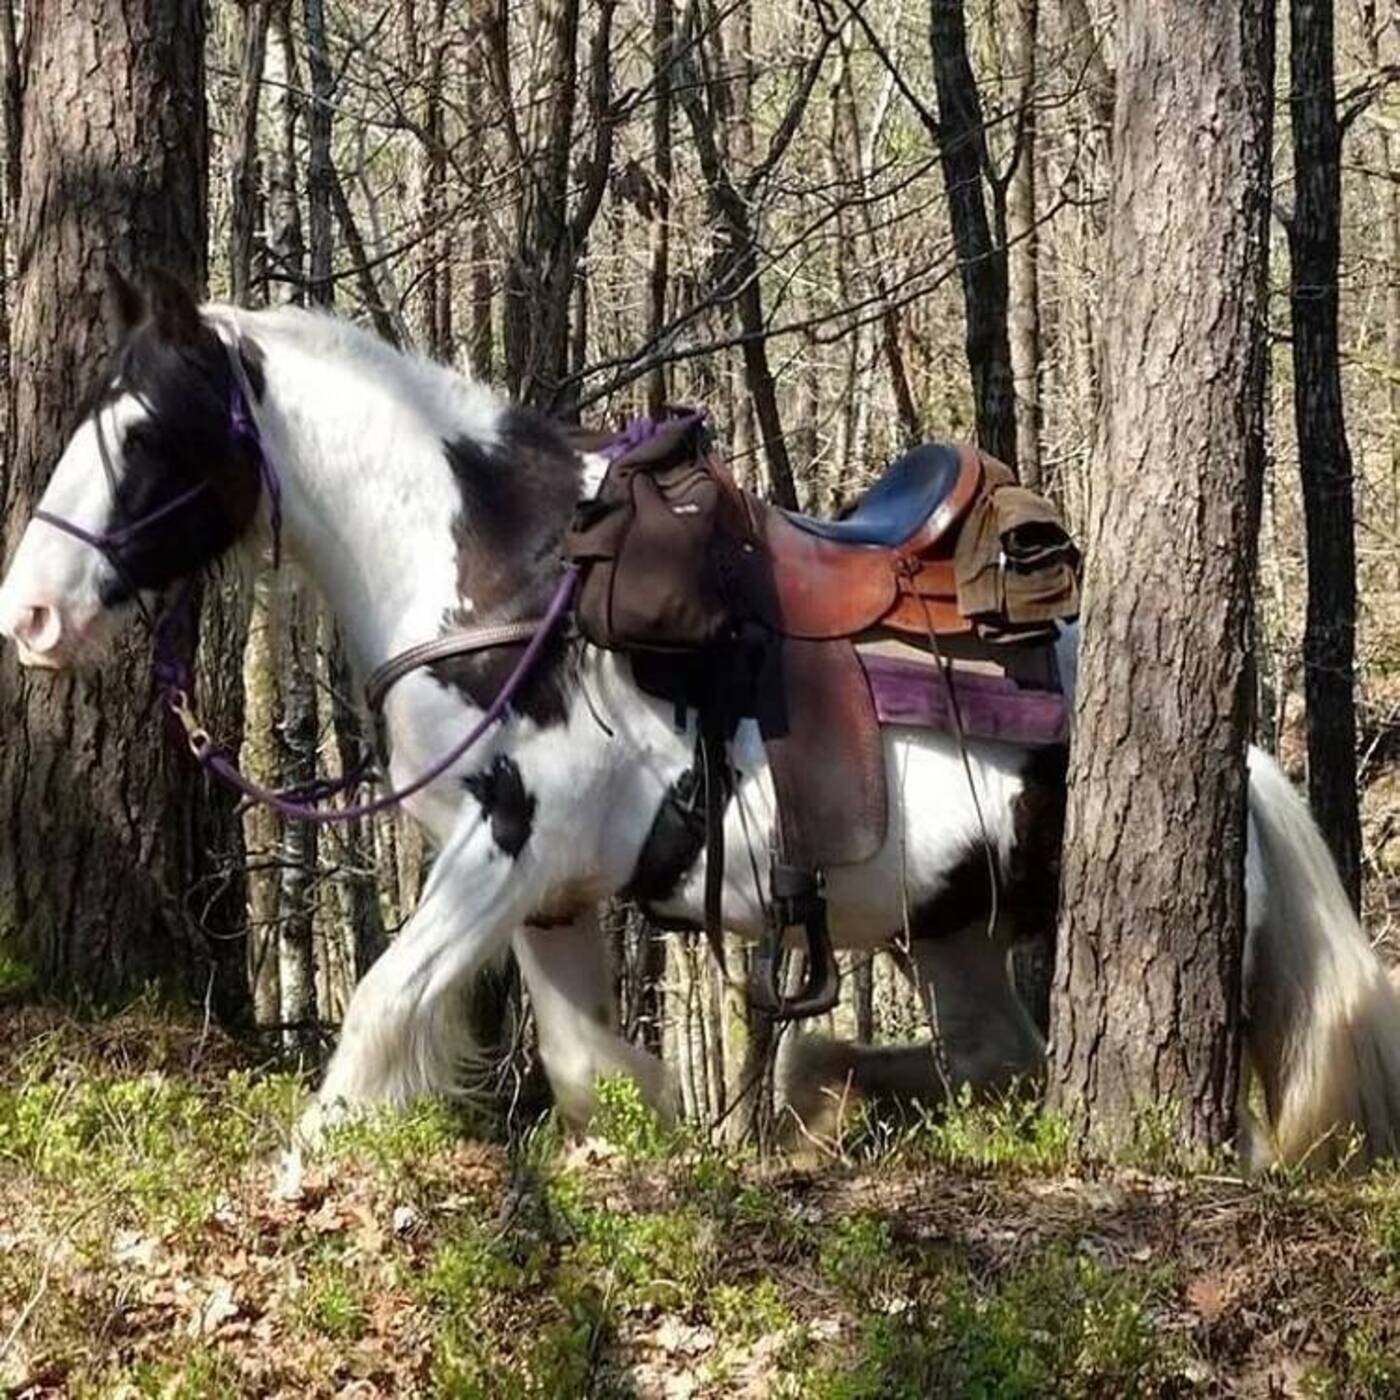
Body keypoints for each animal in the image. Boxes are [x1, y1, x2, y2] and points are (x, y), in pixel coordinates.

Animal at [1, 269, 1397, 1171]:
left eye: (147, 432)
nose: (29, 613)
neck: (516, 585)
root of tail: (1244, 767)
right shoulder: (550, 895)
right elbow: (583, 1069)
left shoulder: (506, 848)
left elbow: (383, 1002)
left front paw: (306, 1167)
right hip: (946, 929)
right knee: (992, 1054)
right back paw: (816, 1091)